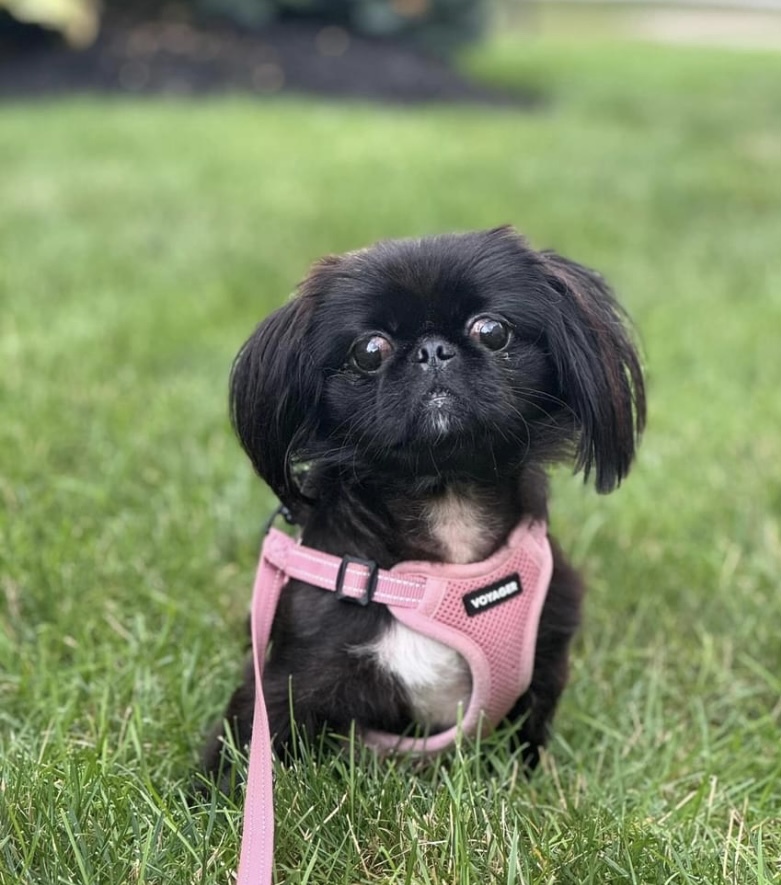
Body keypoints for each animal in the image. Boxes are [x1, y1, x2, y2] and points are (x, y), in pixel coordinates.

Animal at [203, 224, 644, 784]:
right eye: (369, 350)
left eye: (492, 331)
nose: (433, 350)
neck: (447, 501)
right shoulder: (288, 677)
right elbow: (241, 751)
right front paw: (208, 800)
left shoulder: (544, 651)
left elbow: (528, 738)